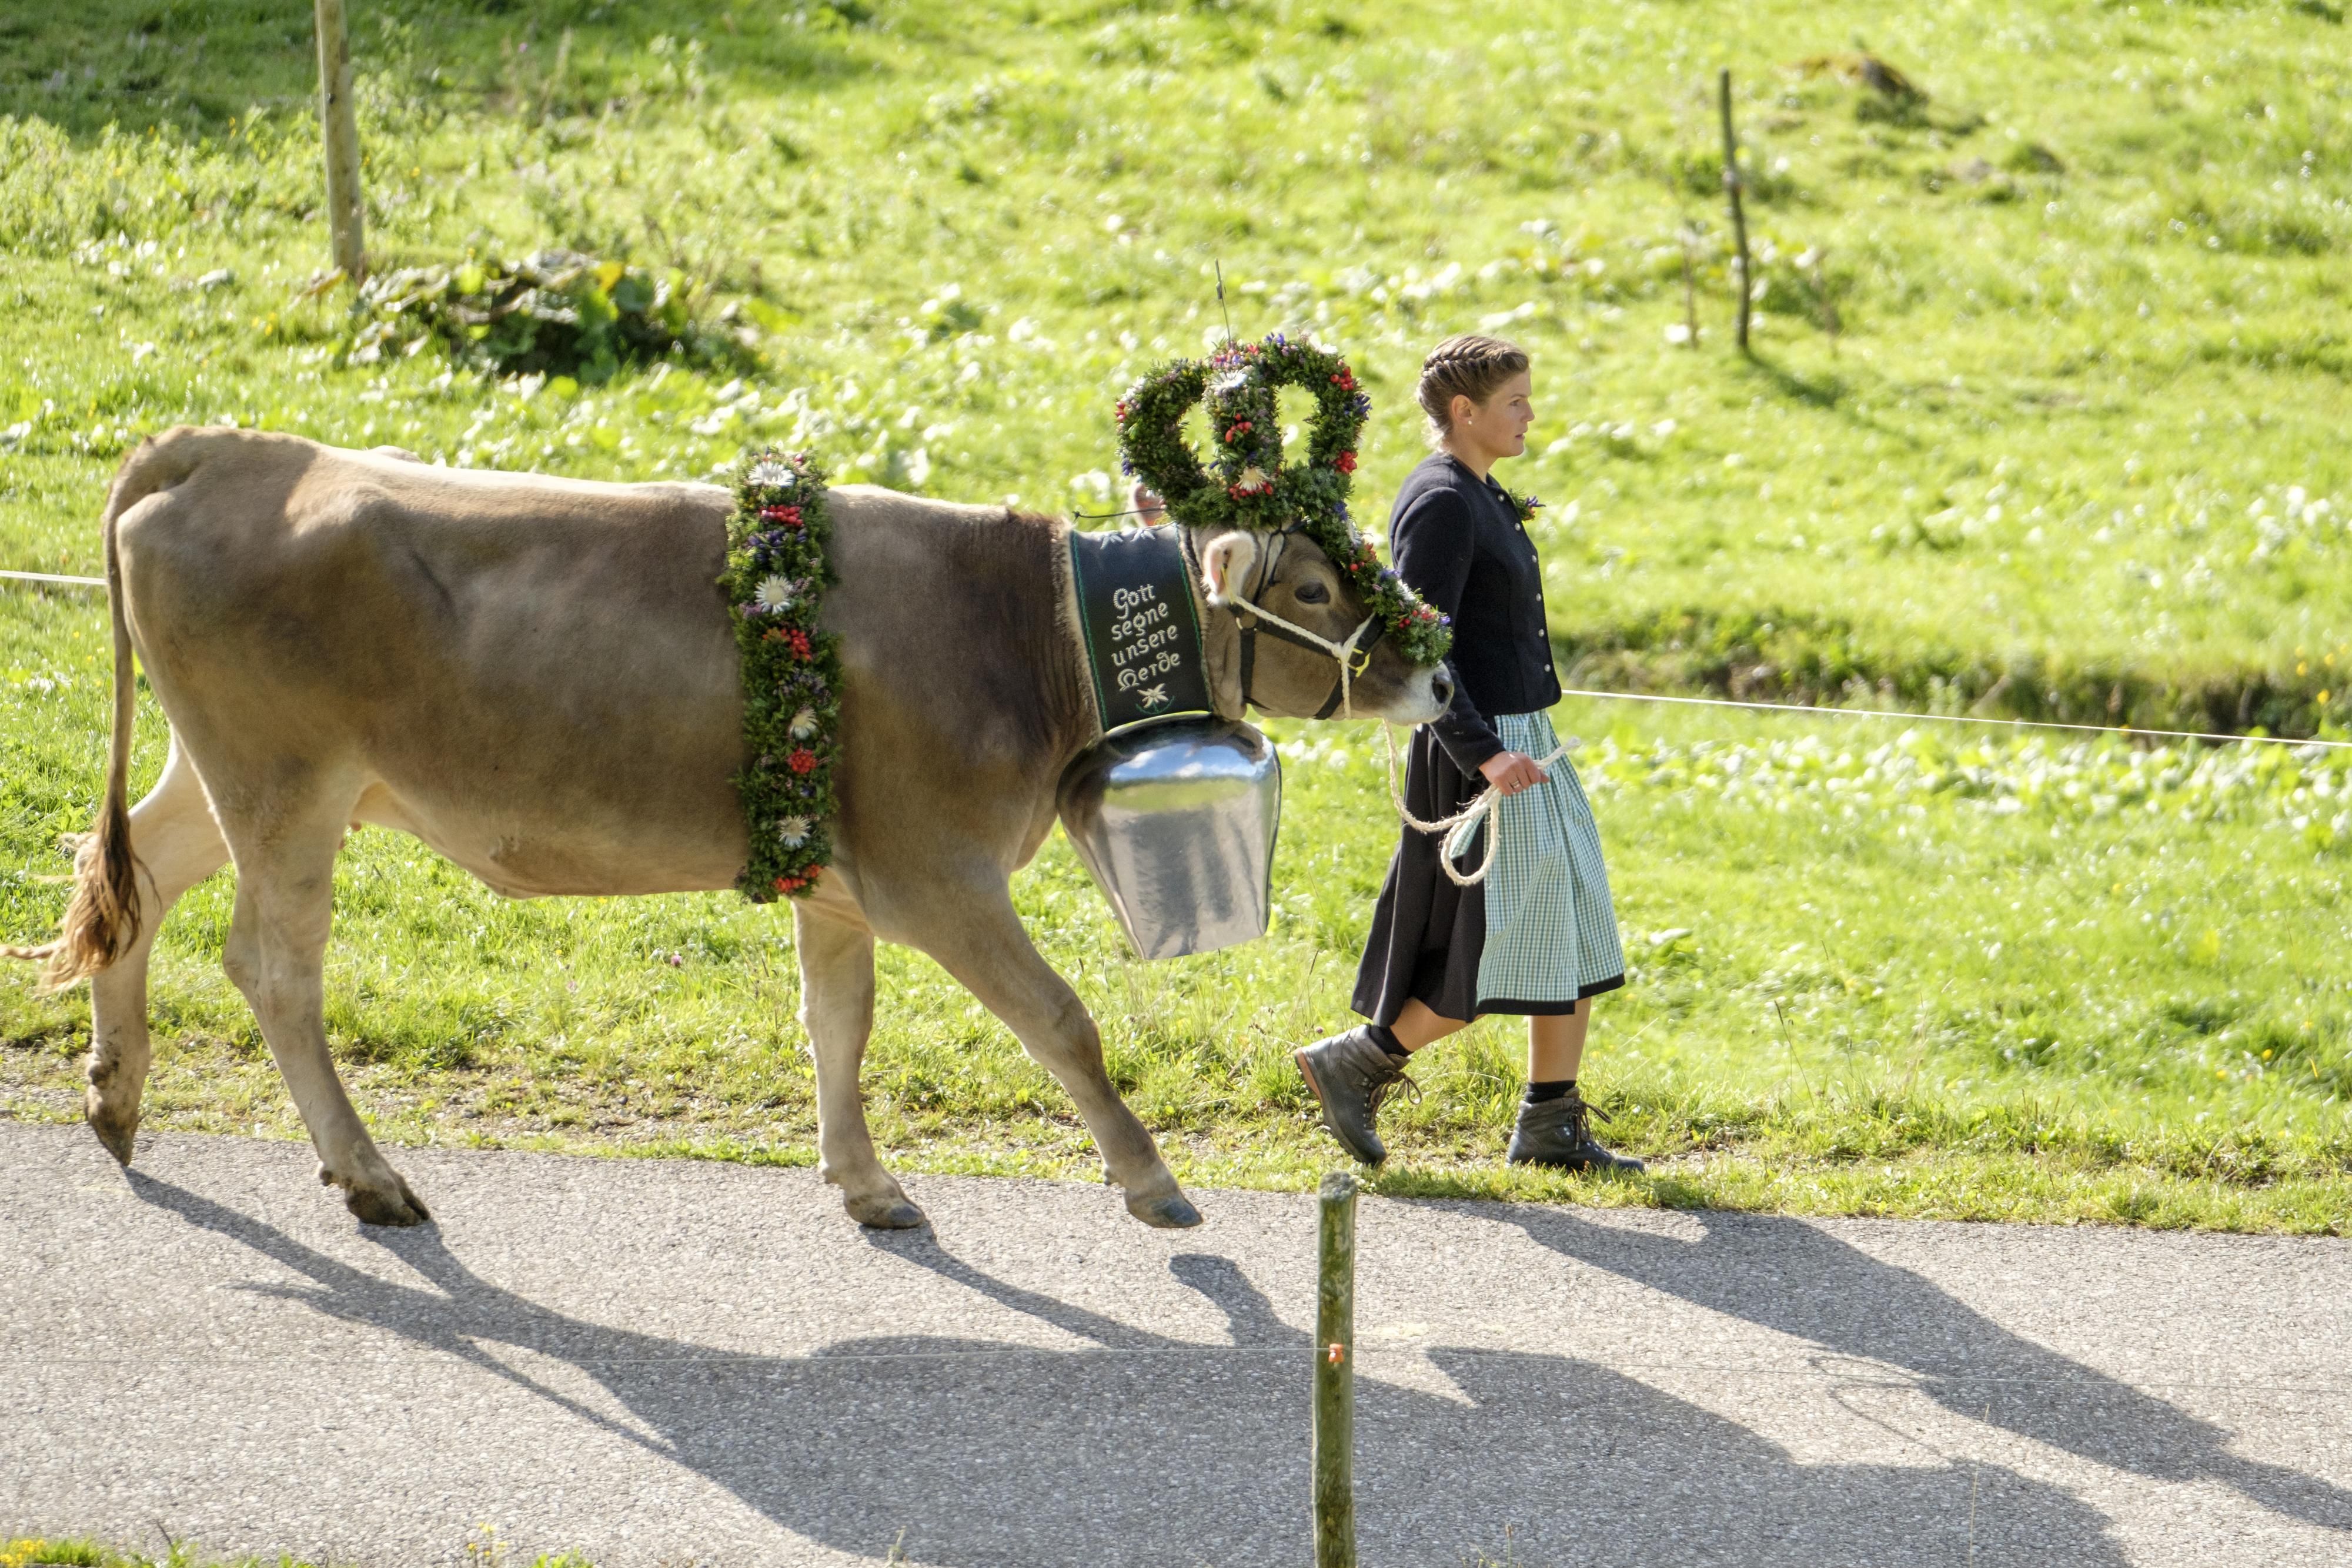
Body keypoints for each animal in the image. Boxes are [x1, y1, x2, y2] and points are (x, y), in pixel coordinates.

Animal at [9, 430, 1449, 1222]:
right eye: (1312, 585)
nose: (1437, 669)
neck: (1021, 626)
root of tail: (238, 446)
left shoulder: (843, 881)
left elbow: (837, 1025)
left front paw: (866, 1183)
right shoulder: (938, 872)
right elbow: (1061, 1021)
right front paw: (1149, 1178)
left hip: (233, 777)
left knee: (130, 880)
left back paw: (117, 1101)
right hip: (286, 784)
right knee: (271, 965)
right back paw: (368, 1177)